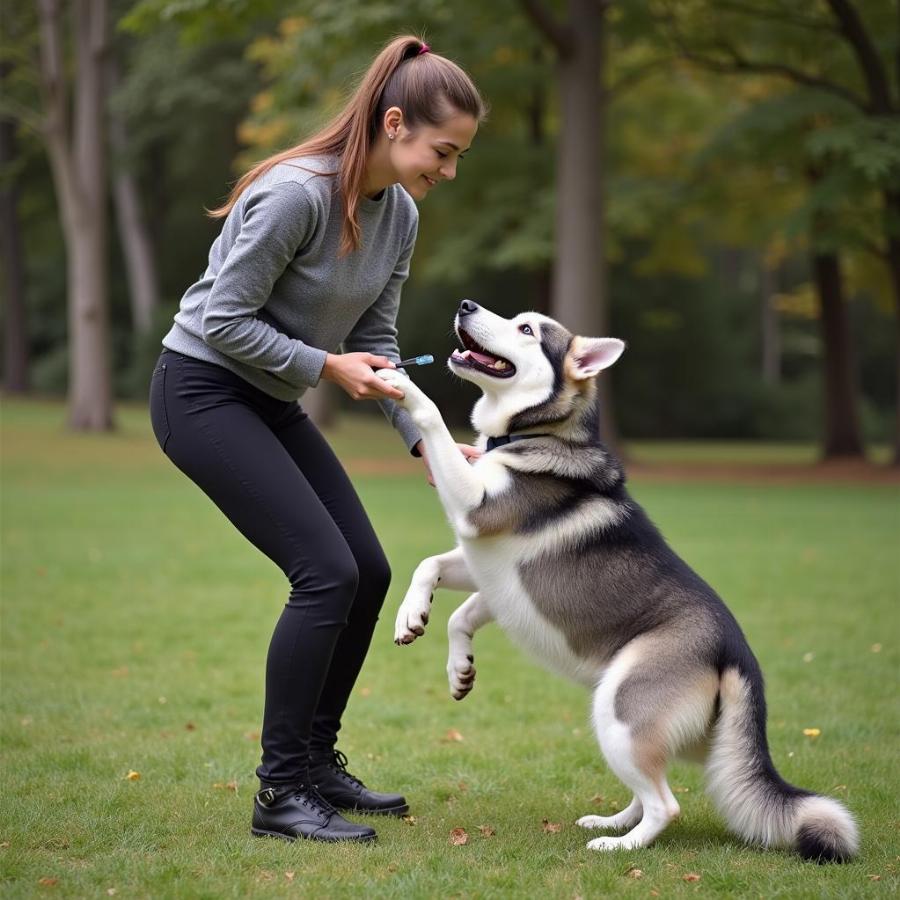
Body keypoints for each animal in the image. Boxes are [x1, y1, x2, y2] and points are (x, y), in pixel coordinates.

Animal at [376, 298, 860, 860]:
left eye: (527, 329)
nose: (466, 304)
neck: (528, 434)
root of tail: (737, 653)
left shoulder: (476, 509)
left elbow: (431, 418)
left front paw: (402, 383)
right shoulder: (491, 574)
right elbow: (438, 582)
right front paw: (437, 644)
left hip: (620, 709)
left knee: (666, 804)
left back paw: (621, 846)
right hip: (629, 725)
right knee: (651, 786)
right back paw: (613, 822)